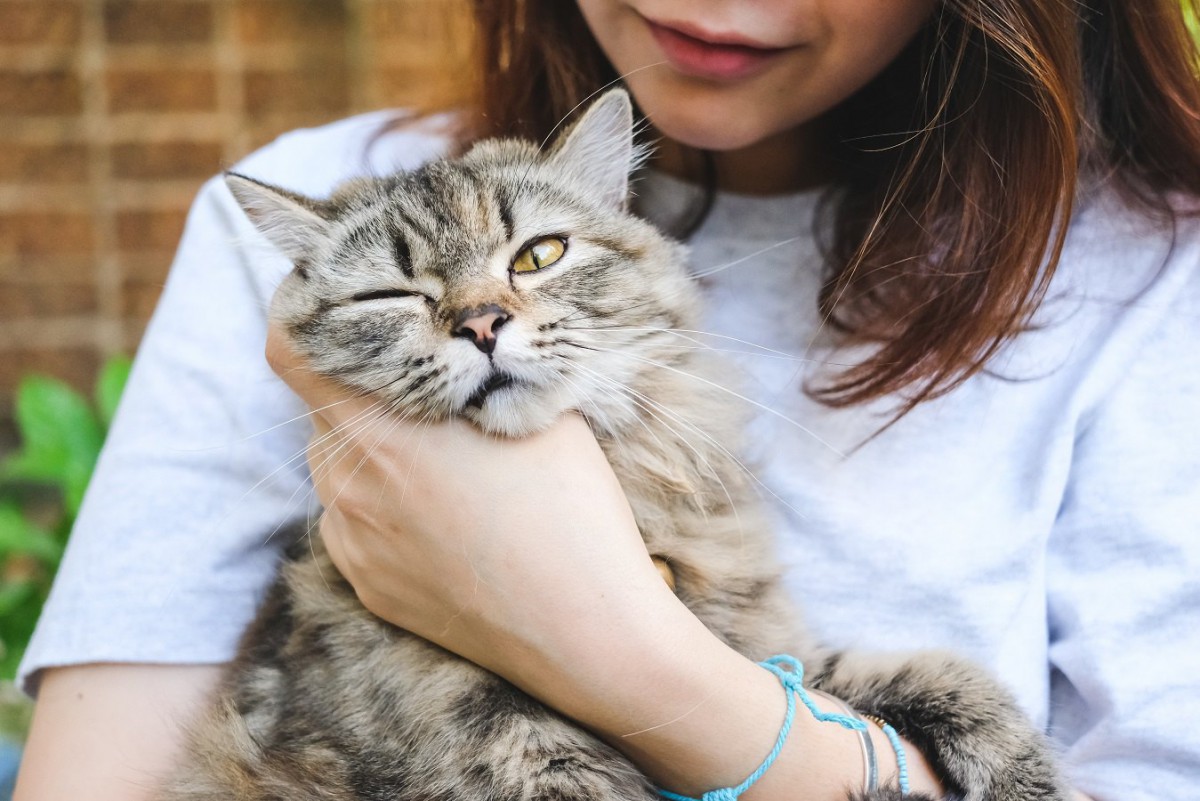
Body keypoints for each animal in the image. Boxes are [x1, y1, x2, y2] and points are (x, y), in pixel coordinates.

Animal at [154, 90, 1065, 796]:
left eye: (540, 255)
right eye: (390, 295)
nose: (481, 324)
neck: (626, 493)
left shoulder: (767, 651)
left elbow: (935, 673)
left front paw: (1025, 771)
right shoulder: (521, 760)